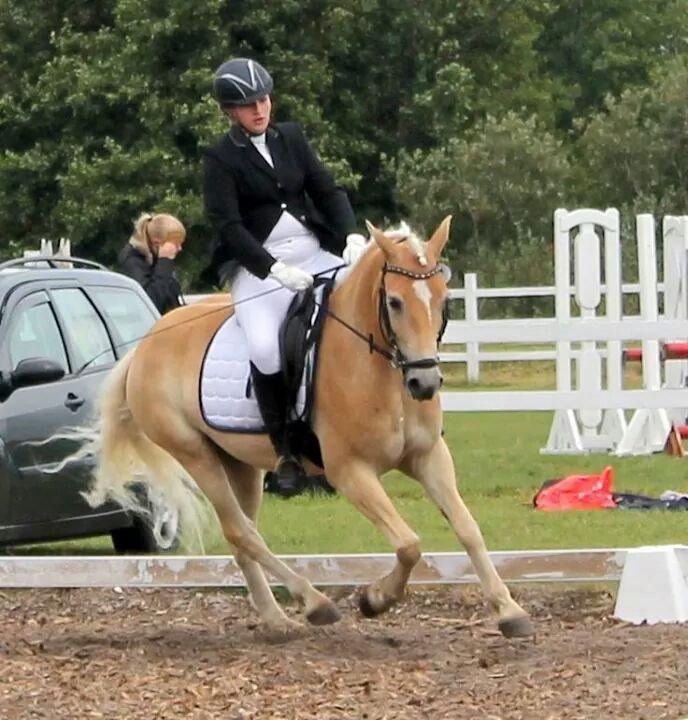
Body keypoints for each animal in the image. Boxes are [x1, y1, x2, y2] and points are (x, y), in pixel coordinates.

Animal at [86, 217, 536, 640]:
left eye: (444, 300)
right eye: (393, 302)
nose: (424, 384)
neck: (379, 370)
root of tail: (146, 343)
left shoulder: (428, 457)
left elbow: (468, 529)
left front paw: (509, 611)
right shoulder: (350, 471)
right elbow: (409, 544)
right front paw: (375, 599)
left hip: (240, 464)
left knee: (243, 536)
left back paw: (276, 619)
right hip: (196, 456)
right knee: (242, 532)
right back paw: (314, 602)